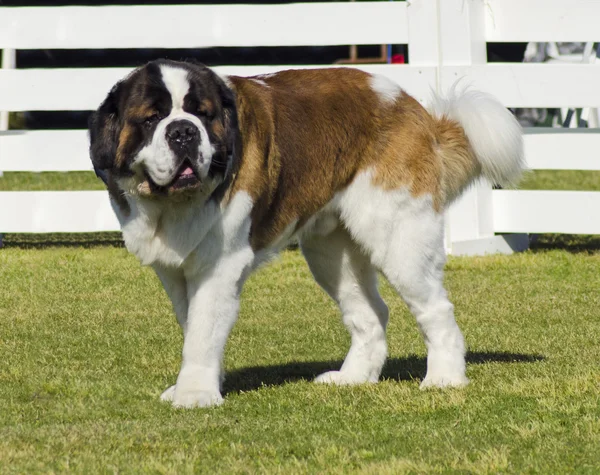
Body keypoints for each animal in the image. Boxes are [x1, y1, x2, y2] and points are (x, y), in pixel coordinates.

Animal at [86, 59, 524, 410]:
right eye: (150, 119)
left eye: (203, 115)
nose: (182, 132)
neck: (172, 203)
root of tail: (410, 105)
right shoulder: (175, 272)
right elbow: (193, 324)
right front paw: (195, 386)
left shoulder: (218, 267)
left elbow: (202, 331)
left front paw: (194, 396)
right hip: (330, 252)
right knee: (370, 312)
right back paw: (353, 378)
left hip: (399, 236)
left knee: (435, 307)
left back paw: (444, 378)